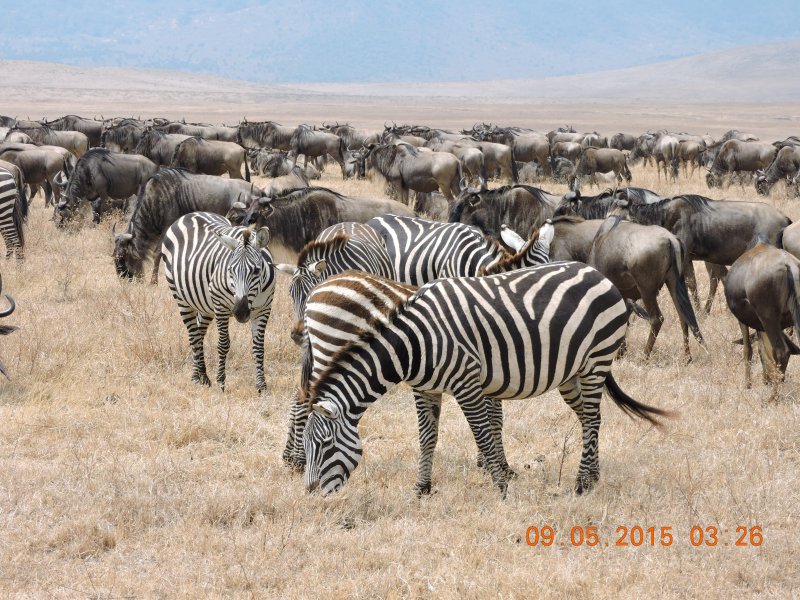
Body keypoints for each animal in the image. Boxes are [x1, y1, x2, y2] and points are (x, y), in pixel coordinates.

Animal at [161, 212, 276, 393]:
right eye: (230, 270)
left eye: (256, 270)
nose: (240, 312)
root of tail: (191, 214)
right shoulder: (221, 306)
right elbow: (223, 344)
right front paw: (221, 382)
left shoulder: (264, 308)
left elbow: (258, 347)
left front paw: (262, 386)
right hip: (182, 299)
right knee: (193, 336)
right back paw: (196, 378)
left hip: (206, 306)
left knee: (199, 333)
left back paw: (202, 376)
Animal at [302, 266, 668, 497]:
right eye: (307, 447)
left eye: (325, 445)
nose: (311, 494)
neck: (414, 343)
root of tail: (599, 274)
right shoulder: (424, 390)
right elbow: (427, 438)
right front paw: (422, 489)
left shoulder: (466, 382)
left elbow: (483, 435)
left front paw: (501, 487)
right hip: (571, 373)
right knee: (590, 419)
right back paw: (593, 475)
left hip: (597, 360)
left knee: (592, 418)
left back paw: (581, 484)